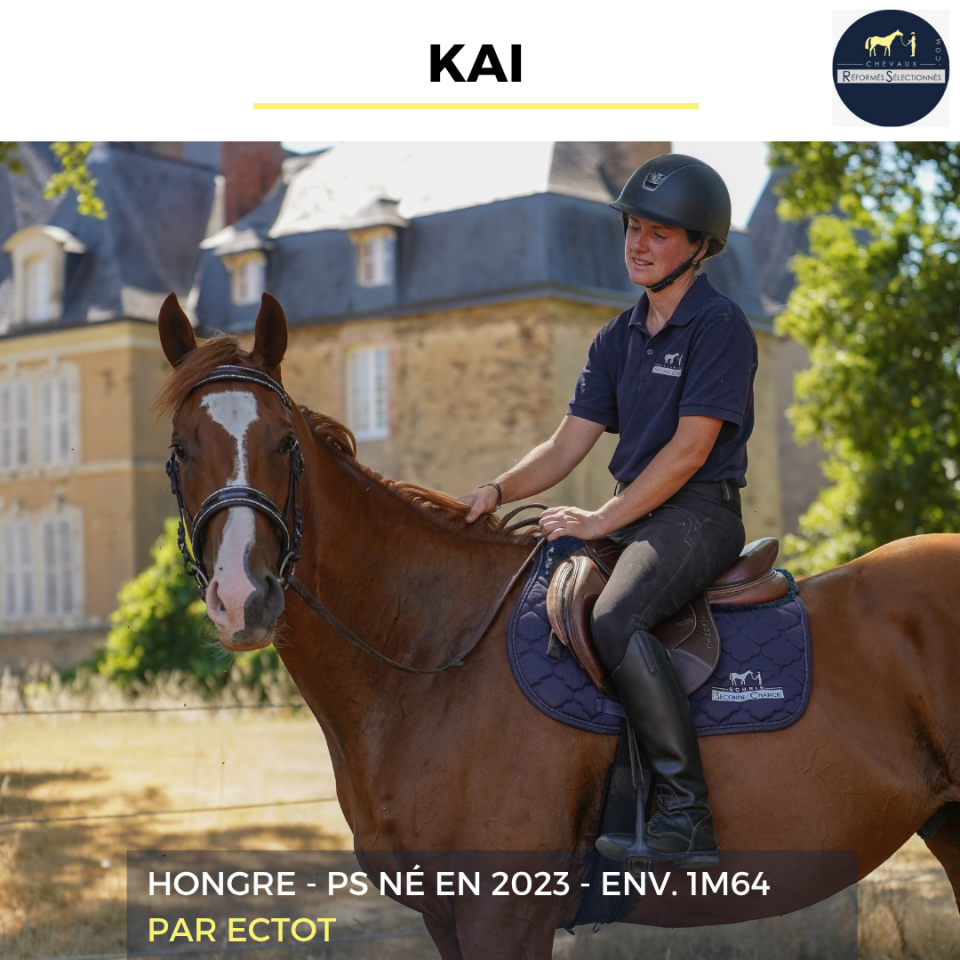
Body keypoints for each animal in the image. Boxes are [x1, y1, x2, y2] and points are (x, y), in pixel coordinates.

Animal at [156, 292, 960, 959]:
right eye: (181, 450)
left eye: (284, 444)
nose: (241, 597)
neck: (432, 657)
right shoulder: (447, 920)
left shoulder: (504, 916)